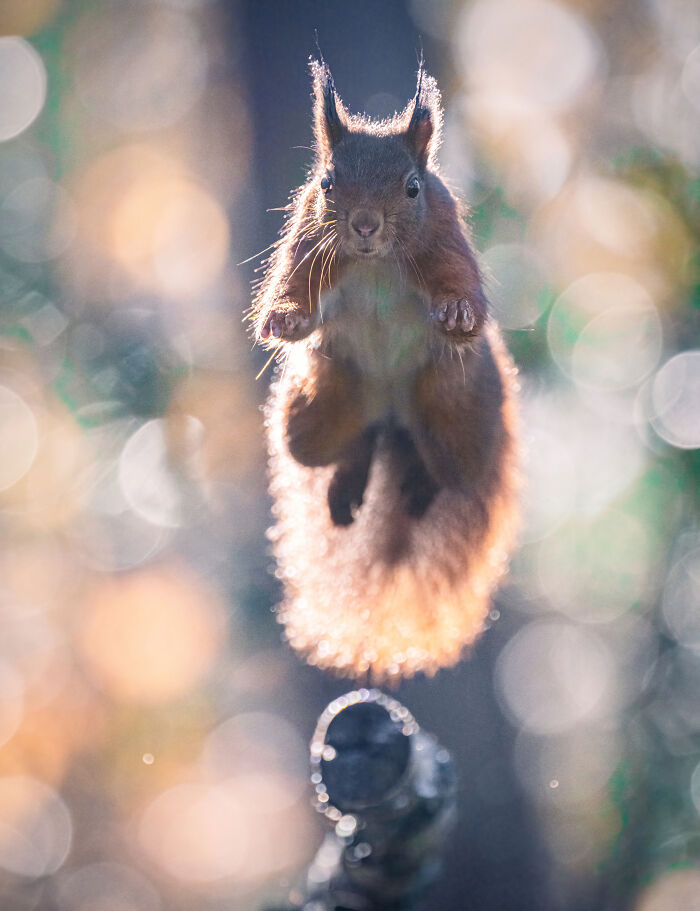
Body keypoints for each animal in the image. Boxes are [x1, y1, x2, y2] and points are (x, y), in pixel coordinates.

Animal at [250, 59, 520, 681]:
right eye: (327, 183)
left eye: (412, 187)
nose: (365, 225)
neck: (373, 262)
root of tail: (394, 412)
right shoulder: (304, 245)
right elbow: (291, 291)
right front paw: (285, 318)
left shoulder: (445, 240)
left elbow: (461, 297)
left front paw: (457, 313)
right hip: (319, 412)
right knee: (354, 439)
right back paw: (351, 478)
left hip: (460, 424)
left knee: (445, 469)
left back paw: (420, 482)